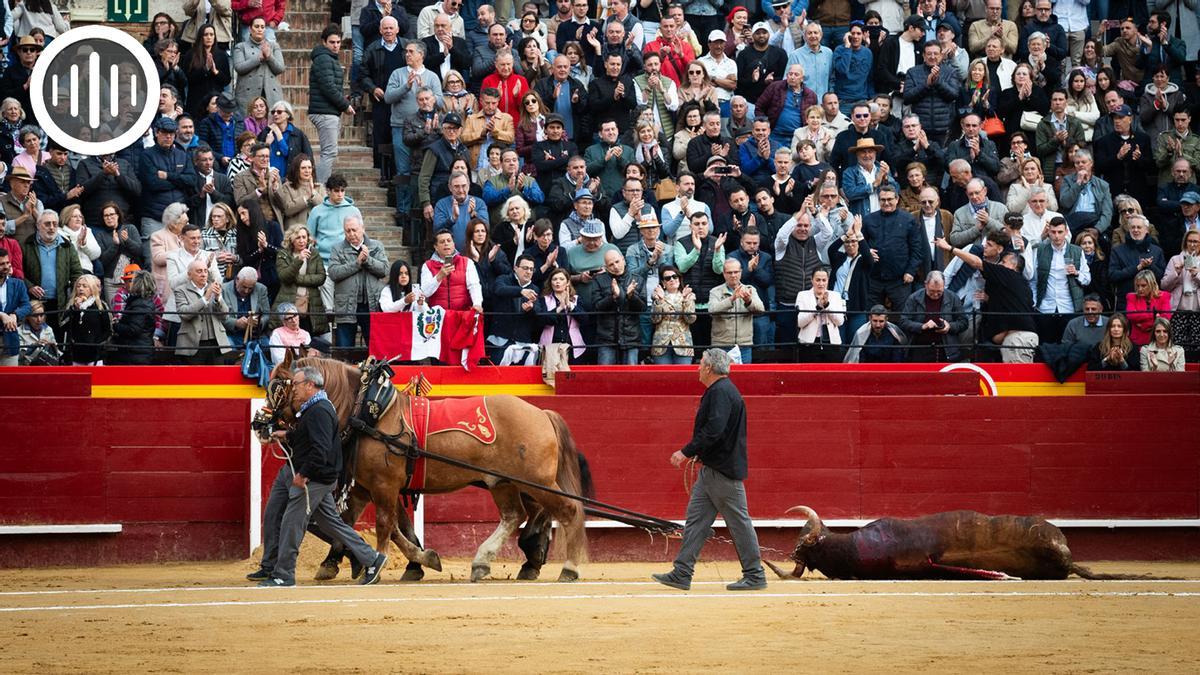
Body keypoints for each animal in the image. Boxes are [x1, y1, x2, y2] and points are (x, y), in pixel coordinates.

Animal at [258, 355, 590, 581]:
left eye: (277, 387)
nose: (260, 424)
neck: (370, 412)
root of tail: (542, 413)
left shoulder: (384, 485)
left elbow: (383, 524)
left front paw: (375, 564)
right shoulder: (367, 487)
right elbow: (374, 524)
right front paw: (417, 559)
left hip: (535, 481)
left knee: (568, 510)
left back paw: (568, 567)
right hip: (503, 482)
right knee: (515, 516)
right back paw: (487, 561)